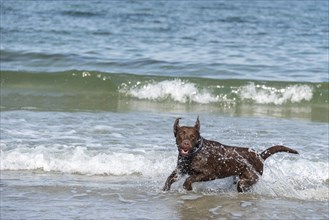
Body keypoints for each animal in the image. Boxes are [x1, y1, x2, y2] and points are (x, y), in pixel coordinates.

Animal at [163, 117, 298, 192]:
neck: (195, 153)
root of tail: (259, 156)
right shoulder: (180, 170)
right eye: (181, 135)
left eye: (192, 137)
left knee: (243, 185)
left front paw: (188, 187)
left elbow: (190, 179)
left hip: (248, 178)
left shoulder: (210, 174)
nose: (186, 144)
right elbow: (170, 178)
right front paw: (165, 189)